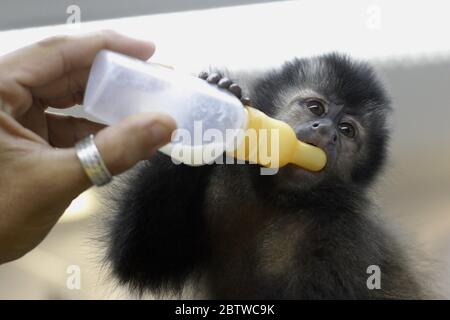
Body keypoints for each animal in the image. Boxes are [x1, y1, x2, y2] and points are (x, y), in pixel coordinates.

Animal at [103, 53, 428, 300]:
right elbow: (147, 256)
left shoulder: (345, 232)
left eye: (347, 130)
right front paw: (217, 93)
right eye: (316, 108)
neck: (276, 201)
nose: (327, 131)